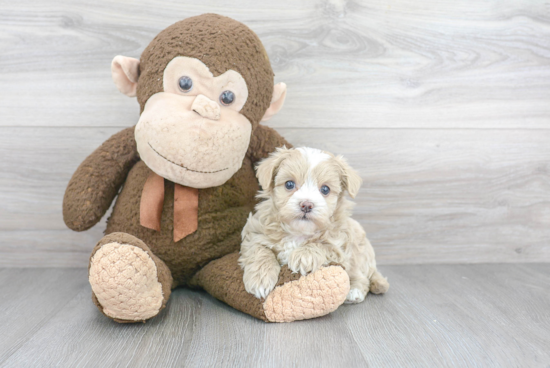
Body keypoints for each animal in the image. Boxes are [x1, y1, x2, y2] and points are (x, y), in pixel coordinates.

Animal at [239, 145, 390, 304]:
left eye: (325, 189)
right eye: (289, 184)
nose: (306, 205)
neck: (298, 232)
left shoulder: (340, 248)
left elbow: (323, 245)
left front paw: (304, 255)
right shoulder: (254, 231)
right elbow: (259, 249)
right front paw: (260, 279)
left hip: (359, 254)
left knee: (361, 276)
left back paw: (355, 291)